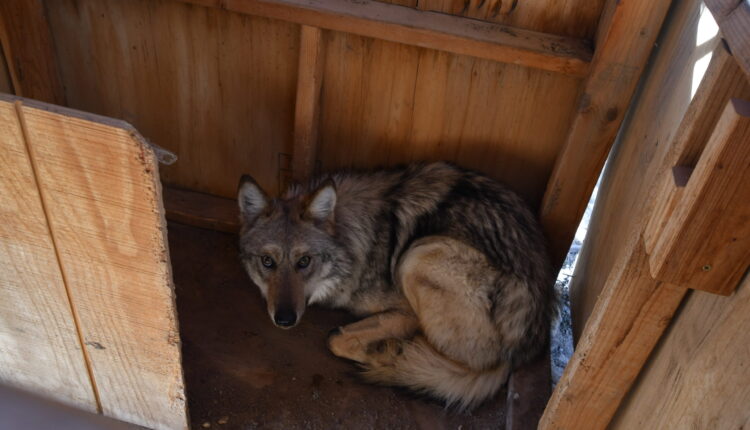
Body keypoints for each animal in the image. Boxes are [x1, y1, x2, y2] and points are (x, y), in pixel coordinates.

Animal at [237, 162, 557, 409]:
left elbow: (335, 339)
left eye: (304, 262)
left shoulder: (406, 309)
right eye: (267, 261)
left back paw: (390, 354)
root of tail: (522, 349)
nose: (285, 319)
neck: (353, 238)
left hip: (418, 256)